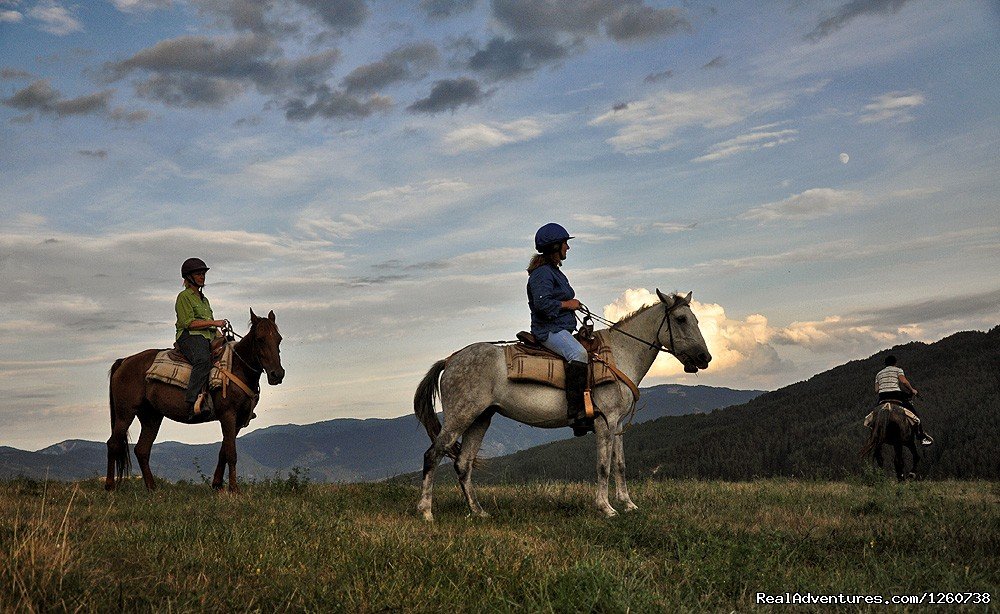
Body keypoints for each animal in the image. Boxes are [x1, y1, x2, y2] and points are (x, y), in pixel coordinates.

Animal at [105, 310, 284, 494]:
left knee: (141, 449)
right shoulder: (228, 415)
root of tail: (124, 361)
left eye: (279, 339)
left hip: (151, 417)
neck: (238, 367)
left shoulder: (239, 421)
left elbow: (224, 451)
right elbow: (231, 453)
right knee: (113, 444)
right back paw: (110, 486)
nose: (277, 374)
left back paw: (152, 489)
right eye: (260, 339)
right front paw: (234, 489)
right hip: (125, 414)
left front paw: (217, 485)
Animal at [412, 292, 712, 524]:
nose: (705, 357)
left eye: (696, 319)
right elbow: (603, 466)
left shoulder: (617, 425)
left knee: (463, 463)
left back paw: (478, 511)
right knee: (433, 454)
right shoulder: (605, 422)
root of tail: (450, 360)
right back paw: (426, 512)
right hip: (460, 416)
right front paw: (606, 508)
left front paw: (628, 504)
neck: (619, 354)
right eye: (681, 319)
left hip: (480, 418)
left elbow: (620, 465)